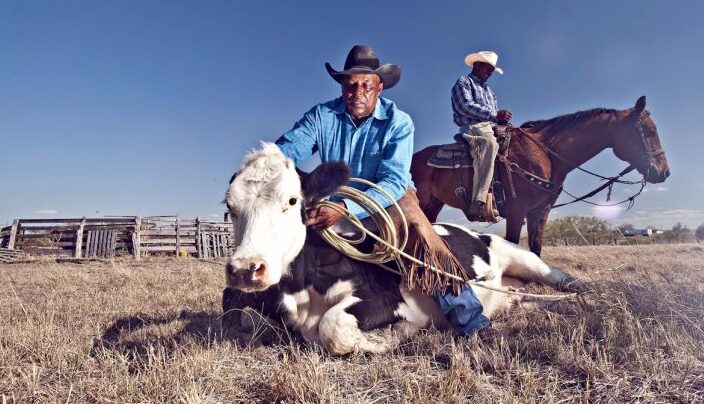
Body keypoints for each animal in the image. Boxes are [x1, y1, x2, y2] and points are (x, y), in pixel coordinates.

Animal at [221, 144, 584, 354]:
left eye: (293, 200)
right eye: (230, 206)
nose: (247, 269)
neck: (303, 292)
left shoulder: (383, 299)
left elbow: (333, 327)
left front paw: (392, 336)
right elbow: (233, 305)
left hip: (524, 257)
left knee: (559, 278)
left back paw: (580, 293)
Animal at [412, 96, 672, 256]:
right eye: (648, 131)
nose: (664, 172)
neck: (547, 154)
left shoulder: (540, 211)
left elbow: (536, 249)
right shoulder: (516, 211)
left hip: (434, 203)